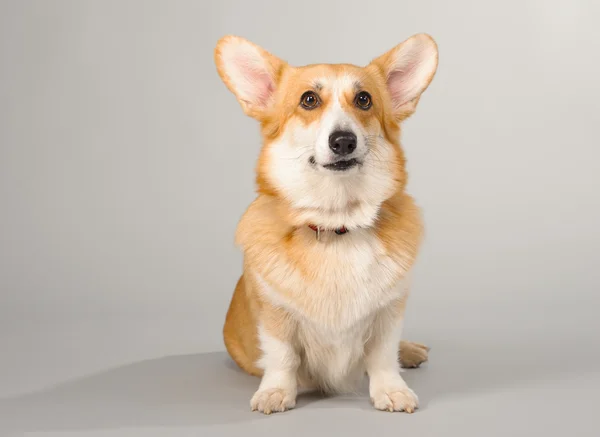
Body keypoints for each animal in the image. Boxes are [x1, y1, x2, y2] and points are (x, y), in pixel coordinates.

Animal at [213, 33, 438, 412]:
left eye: (364, 99)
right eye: (309, 99)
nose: (344, 141)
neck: (338, 223)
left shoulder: (388, 311)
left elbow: (382, 354)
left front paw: (391, 389)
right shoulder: (276, 315)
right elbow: (283, 356)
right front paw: (275, 392)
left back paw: (409, 352)